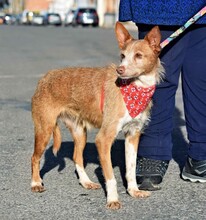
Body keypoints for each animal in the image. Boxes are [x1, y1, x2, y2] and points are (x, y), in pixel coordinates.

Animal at [31, 22, 164, 210]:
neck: (135, 88)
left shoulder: (133, 134)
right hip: (45, 129)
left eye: (138, 55)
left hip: (80, 132)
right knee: (34, 157)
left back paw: (86, 182)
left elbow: (130, 169)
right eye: (122, 56)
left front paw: (133, 191)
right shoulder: (103, 139)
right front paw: (113, 199)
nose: (120, 69)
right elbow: (111, 177)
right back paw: (36, 183)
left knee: (77, 157)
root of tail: (45, 77)